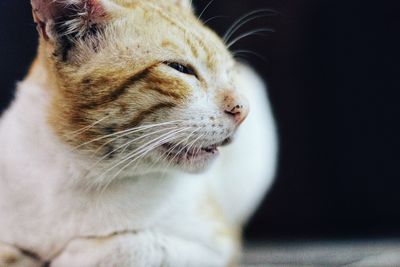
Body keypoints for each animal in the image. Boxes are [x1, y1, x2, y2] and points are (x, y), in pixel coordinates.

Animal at [0, 1, 276, 266]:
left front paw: (73, 256)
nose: (243, 109)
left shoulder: (221, 245)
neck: (81, 172)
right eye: (180, 68)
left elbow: (137, 245)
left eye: (230, 73)